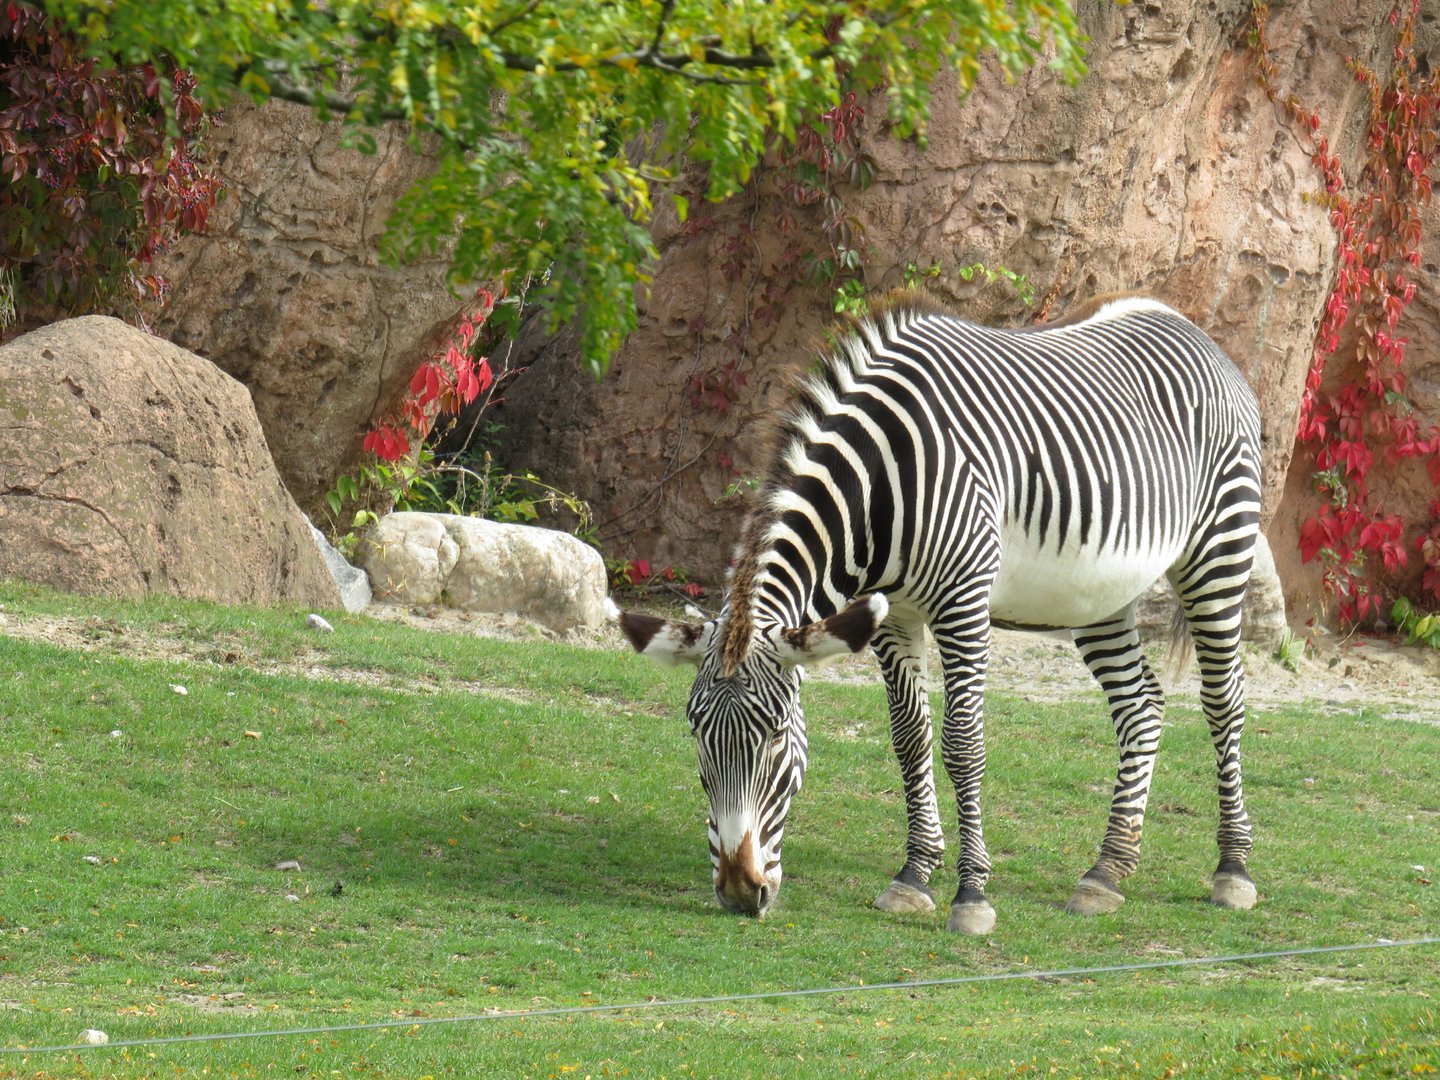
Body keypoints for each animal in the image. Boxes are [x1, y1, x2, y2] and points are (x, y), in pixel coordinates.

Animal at [615, 292, 1262, 933]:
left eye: (775, 735)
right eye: (695, 732)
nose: (739, 890)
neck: (879, 485)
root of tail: (1189, 327)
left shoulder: (963, 602)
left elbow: (962, 742)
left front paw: (971, 894)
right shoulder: (892, 615)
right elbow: (909, 737)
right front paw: (915, 875)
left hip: (1219, 552)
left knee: (1223, 702)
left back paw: (1232, 869)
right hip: (1100, 591)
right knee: (1140, 706)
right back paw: (1107, 871)